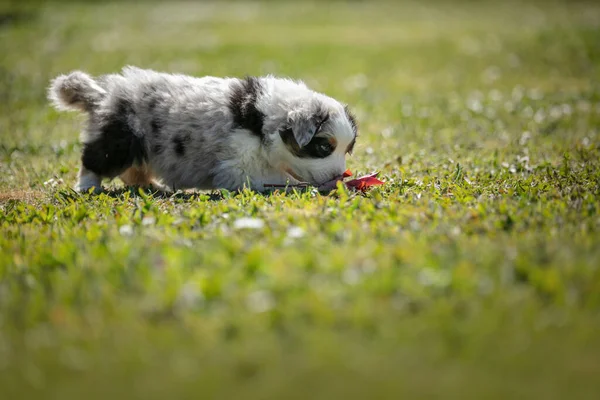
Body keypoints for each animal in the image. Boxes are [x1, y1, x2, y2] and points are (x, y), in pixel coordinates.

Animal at [49, 66, 356, 193]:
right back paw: (87, 187)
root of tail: (102, 96)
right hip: (118, 140)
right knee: (93, 161)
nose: (338, 177)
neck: (264, 119)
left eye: (346, 150)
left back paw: (153, 185)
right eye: (323, 147)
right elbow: (277, 179)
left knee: (133, 171)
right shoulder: (240, 165)